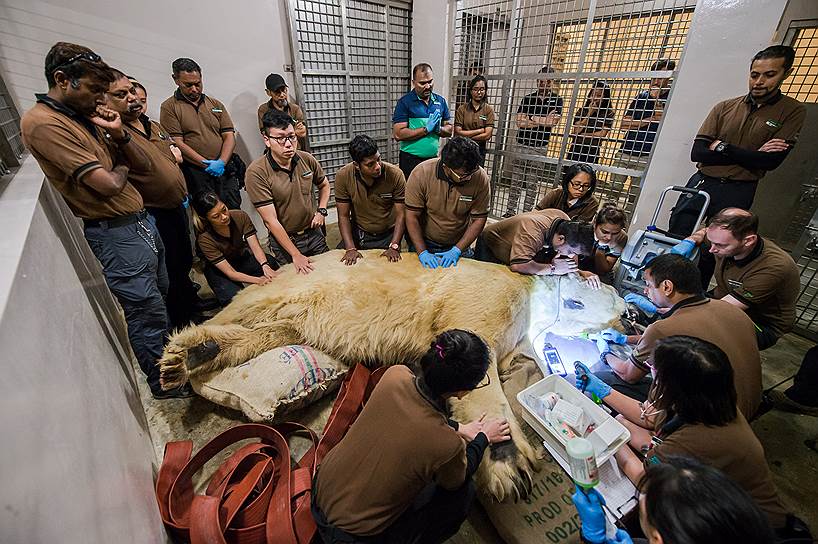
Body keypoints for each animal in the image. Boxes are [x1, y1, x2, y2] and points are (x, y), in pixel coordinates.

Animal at [158, 250, 620, 502]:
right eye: (614, 296)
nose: (630, 318)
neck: (532, 295)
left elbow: (517, 365)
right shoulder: (489, 294)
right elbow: (477, 352)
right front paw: (509, 463)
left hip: (298, 313)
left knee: (272, 331)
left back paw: (199, 354)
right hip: (290, 285)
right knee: (245, 310)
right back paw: (177, 358)